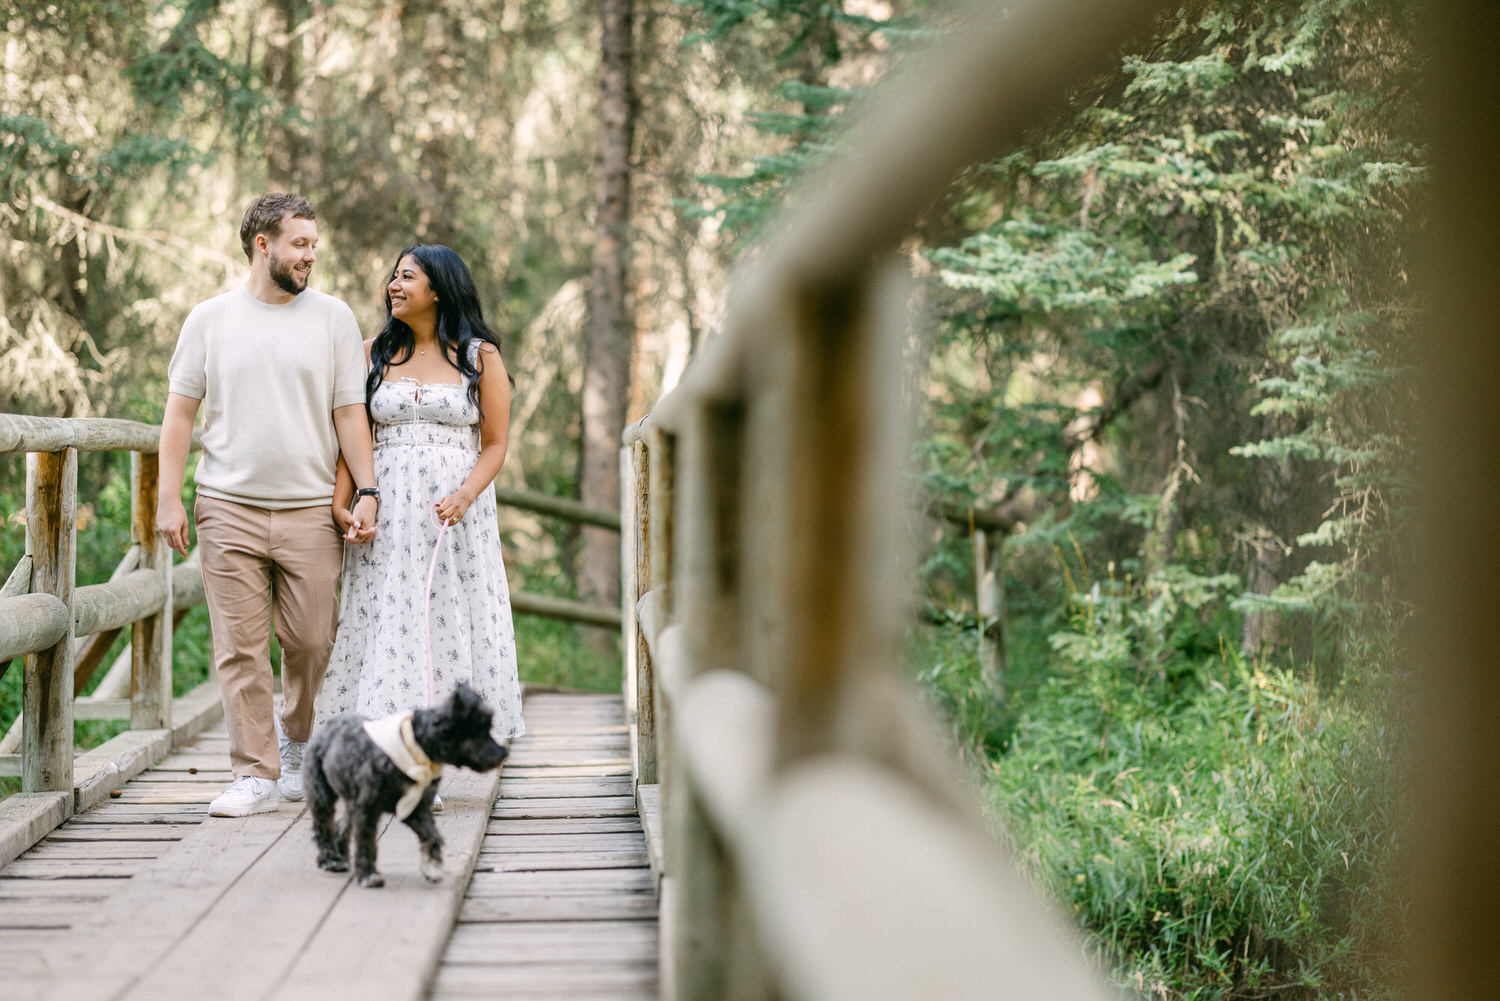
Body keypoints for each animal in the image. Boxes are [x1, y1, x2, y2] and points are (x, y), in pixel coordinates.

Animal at [304, 684, 510, 888]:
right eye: (477, 730)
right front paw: (369, 875)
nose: (503, 753)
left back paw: (341, 857)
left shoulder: (414, 806)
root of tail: (328, 727)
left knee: (342, 825)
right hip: (322, 795)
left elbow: (431, 834)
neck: (416, 748)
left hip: (353, 800)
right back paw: (331, 860)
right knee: (323, 826)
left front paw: (431, 867)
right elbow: (366, 841)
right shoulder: (368, 809)